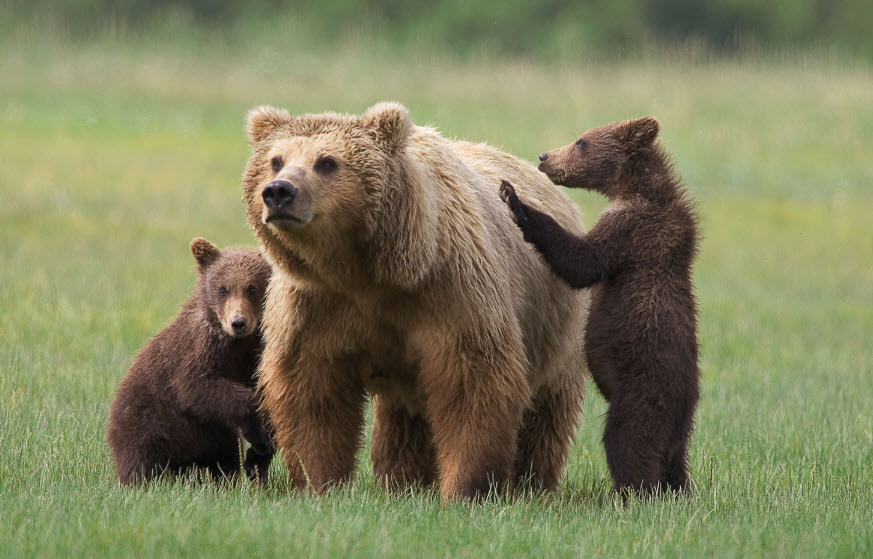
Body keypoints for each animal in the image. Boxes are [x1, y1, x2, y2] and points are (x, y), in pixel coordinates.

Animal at [242, 103, 588, 500]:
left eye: (327, 162)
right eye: (276, 160)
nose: (279, 192)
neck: (368, 271)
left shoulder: (450, 289)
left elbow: (471, 384)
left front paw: (465, 486)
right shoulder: (316, 303)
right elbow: (312, 391)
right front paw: (320, 482)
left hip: (556, 326)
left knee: (545, 411)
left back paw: (531, 483)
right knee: (404, 421)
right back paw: (403, 481)